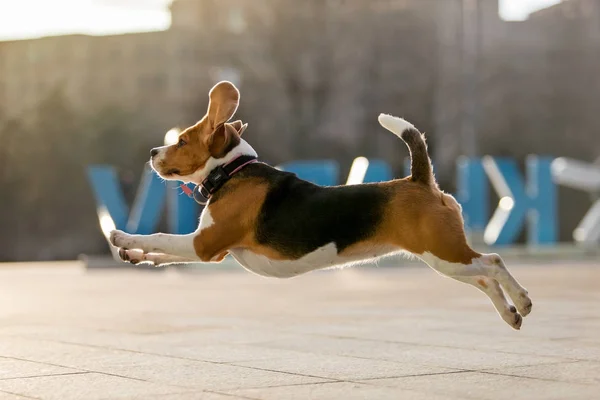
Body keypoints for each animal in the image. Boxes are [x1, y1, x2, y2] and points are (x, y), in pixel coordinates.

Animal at [110, 80, 532, 328]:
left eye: (181, 141)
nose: (152, 152)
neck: (231, 171)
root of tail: (419, 180)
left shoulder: (203, 244)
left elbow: (159, 237)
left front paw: (122, 237)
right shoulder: (209, 251)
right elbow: (163, 253)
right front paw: (134, 255)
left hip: (444, 252)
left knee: (494, 263)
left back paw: (522, 301)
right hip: (446, 260)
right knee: (484, 278)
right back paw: (509, 313)